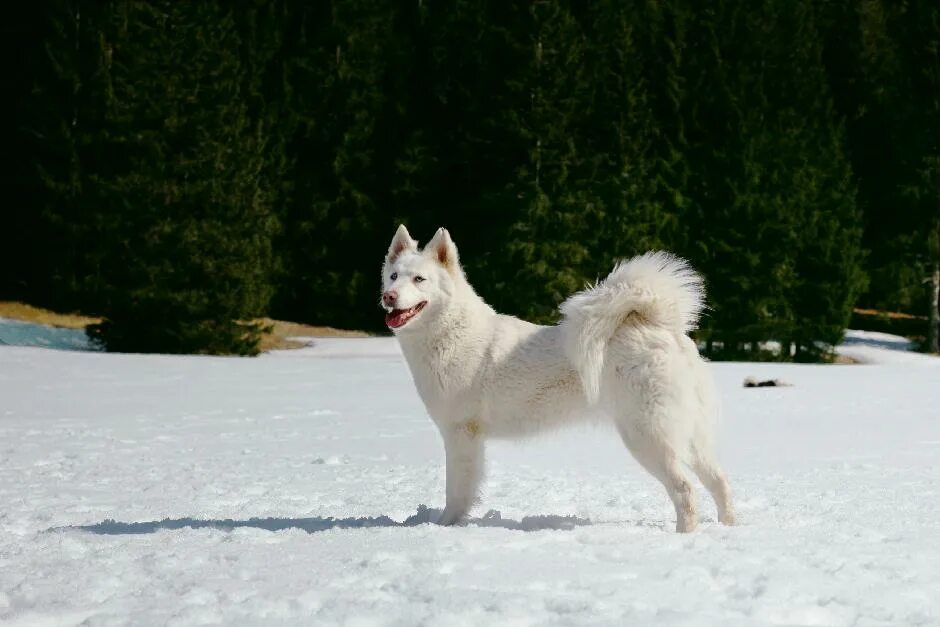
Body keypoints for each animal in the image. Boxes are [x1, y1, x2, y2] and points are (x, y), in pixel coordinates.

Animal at [382, 226, 736, 536]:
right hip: (689, 437)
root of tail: (657, 324)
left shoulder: (460, 435)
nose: (389, 296)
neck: (449, 332)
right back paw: (729, 526)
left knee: (685, 489)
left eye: (419, 279)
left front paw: (444, 526)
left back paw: (683, 537)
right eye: (394, 276)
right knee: (719, 481)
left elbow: (456, 490)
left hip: (648, 436)